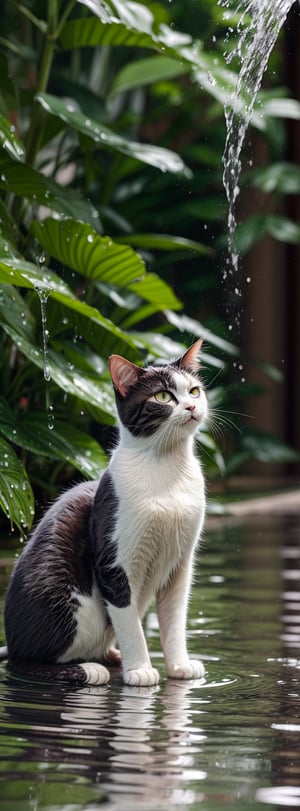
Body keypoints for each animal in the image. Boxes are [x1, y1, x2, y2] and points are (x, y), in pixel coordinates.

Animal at [3, 340, 207, 688]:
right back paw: (89, 669)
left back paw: (111, 656)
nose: (192, 407)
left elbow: (175, 616)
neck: (166, 467)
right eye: (163, 396)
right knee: (23, 662)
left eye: (194, 390)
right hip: (64, 599)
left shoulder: (181, 561)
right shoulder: (114, 561)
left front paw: (179, 666)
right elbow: (127, 618)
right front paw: (140, 669)